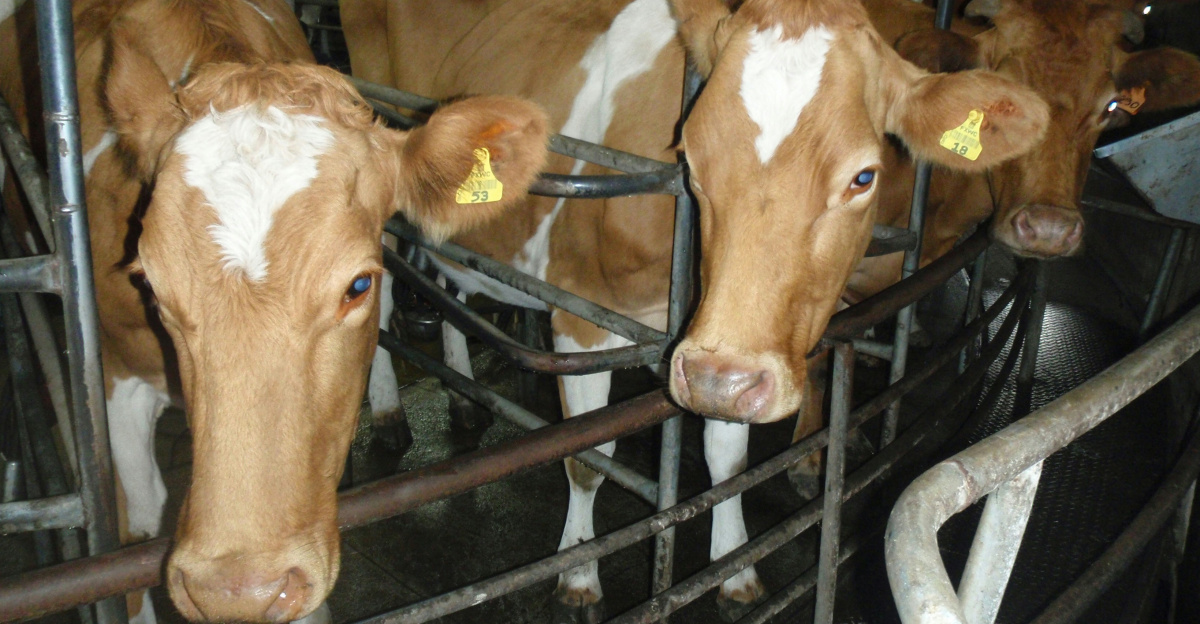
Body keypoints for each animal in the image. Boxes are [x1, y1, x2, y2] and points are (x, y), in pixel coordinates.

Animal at [342, 0, 1049, 619]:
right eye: (691, 160)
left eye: (864, 177)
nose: (717, 379)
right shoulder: (583, 319)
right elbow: (586, 460)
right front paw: (578, 575)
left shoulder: (725, 348)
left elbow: (726, 460)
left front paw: (735, 570)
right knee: (377, 306)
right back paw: (389, 416)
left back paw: (462, 397)